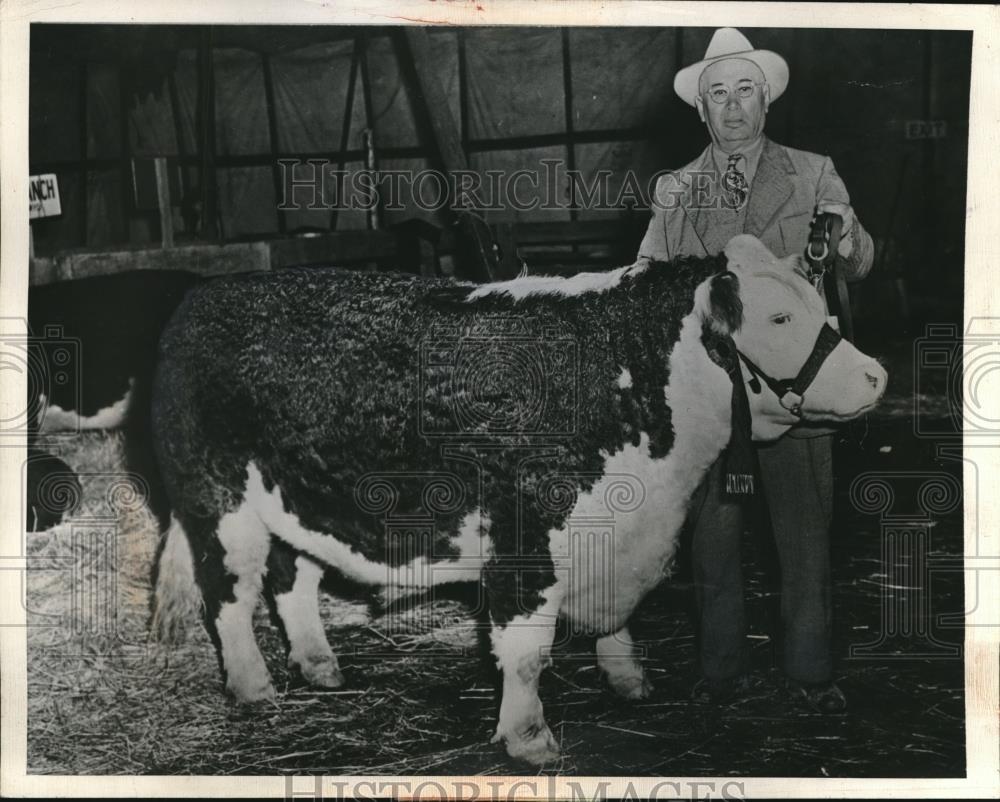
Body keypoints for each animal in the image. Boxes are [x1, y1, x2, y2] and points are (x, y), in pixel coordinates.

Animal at [148, 233, 884, 764]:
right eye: (780, 317)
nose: (876, 376)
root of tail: (203, 297)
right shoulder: (528, 540)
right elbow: (526, 653)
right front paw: (530, 739)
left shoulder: (615, 534)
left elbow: (618, 622)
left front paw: (628, 680)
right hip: (219, 500)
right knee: (230, 596)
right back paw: (254, 687)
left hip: (298, 498)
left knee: (291, 581)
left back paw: (320, 667)